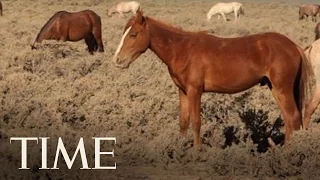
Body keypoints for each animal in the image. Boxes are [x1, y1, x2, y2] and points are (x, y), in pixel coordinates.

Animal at [113, 10, 312, 150]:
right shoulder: (183, 91)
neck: (182, 50)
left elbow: (196, 122)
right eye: (124, 33)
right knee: (288, 119)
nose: (117, 60)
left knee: (293, 117)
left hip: (282, 88)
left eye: (133, 34)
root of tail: (293, 45)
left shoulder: (195, 90)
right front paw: (180, 149)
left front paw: (197, 152)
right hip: (275, 88)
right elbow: (183, 122)